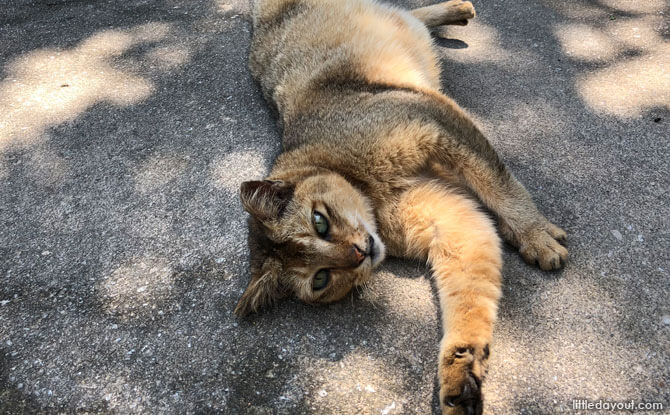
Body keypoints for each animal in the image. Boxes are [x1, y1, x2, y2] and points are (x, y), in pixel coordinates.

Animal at [234, 1, 568, 414]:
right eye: (321, 279)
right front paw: (460, 370)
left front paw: (535, 234)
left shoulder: (429, 116)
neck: (369, 192)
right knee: (410, 18)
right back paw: (453, 12)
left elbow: (499, 184)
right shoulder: (455, 221)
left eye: (319, 221)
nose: (359, 253)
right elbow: (469, 299)